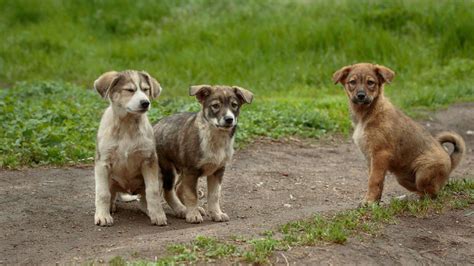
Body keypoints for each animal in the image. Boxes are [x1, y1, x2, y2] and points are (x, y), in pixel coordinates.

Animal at [92, 69, 167, 225]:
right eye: (129, 90)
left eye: (146, 89)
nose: (145, 103)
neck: (127, 126)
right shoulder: (102, 163)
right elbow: (102, 194)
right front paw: (102, 216)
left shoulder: (149, 161)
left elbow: (153, 192)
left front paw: (158, 214)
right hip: (110, 180)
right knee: (111, 195)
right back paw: (110, 208)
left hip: (158, 174)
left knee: (143, 200)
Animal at [155, 84, 252, 222]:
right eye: (215, 105)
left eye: (234, 105)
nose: (229, 119)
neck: (216, 139)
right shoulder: (191, 170)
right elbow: (192, 195)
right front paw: (193, 215)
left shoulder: (218, 170)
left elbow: (214, 195)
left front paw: (216, 213)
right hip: (169, 169)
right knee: (169, 191)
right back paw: (182, 210)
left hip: (181, 171)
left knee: (178, 188)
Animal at [334, 63, 466, 205]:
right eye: (352, 82)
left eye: (370, 82)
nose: (361, 95)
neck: (366, 114)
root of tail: (450, 161)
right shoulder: (371, 158)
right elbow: (376, 180)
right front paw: (375, 202)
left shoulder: (380, 154)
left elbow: (374, 181)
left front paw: (369, 201)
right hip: (402, 178)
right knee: (420, 189)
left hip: (423, 173)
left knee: (432, 193)